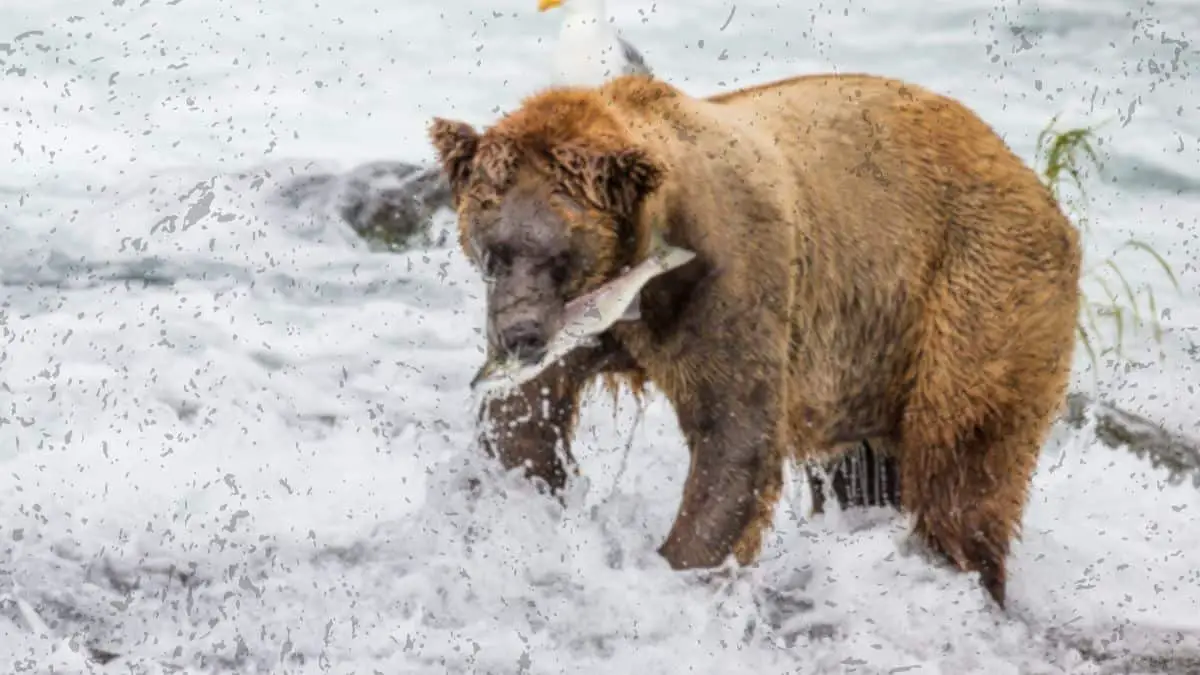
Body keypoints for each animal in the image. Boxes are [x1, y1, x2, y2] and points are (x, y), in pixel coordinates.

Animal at [427, 69, 1084, 605]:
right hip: (872, 359)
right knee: (863, 474)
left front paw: (679, 567)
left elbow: (734, 440)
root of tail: (1035, 184)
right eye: (492, 251)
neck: (641, 278)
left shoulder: (730, 279)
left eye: (557, 256)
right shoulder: (589, 327)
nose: (518, 336)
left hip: (972, 288)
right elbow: (525, 421)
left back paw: (966, 574)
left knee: (962, 461)